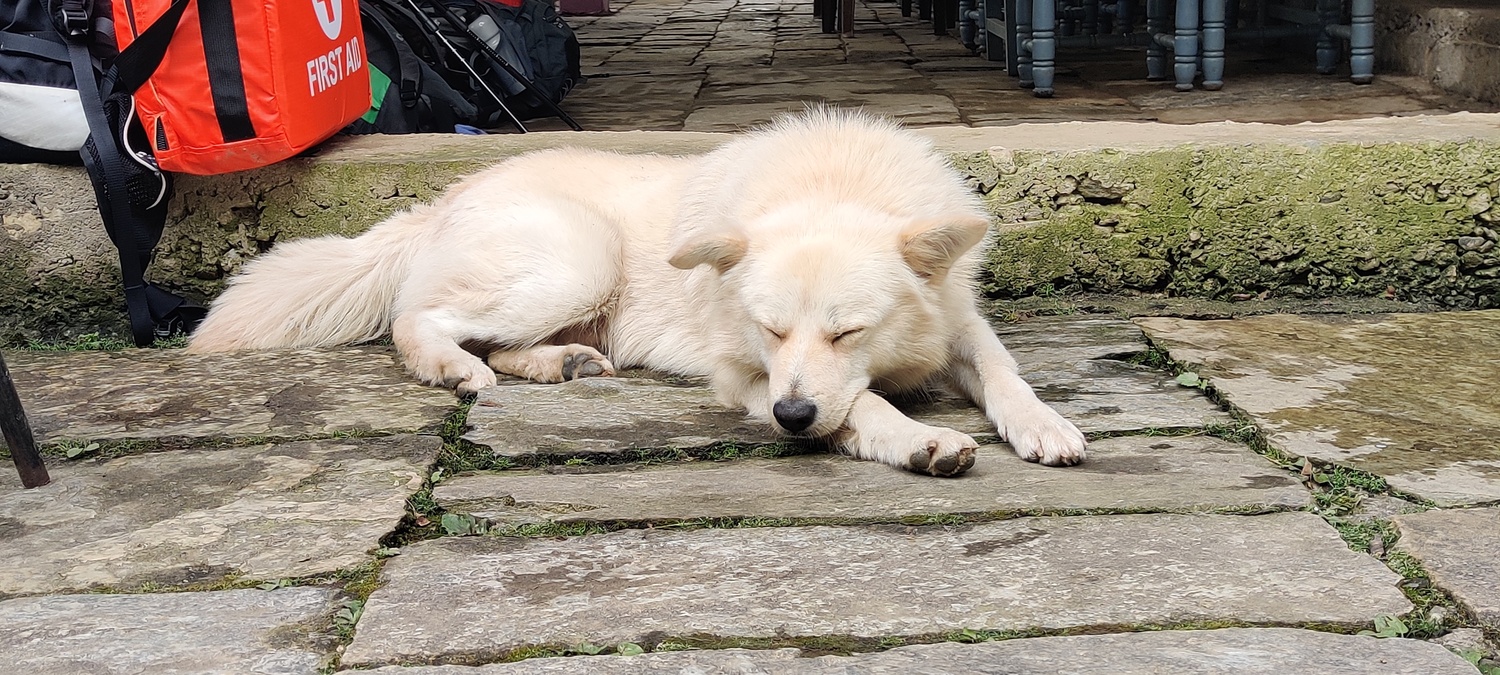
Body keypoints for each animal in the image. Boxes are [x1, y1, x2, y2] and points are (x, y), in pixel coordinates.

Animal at [187, 109, 1086, 474]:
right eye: (769, 330)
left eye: (848, 331)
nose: (793, 417)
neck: (833, 182)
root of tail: (445, 196)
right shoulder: (747, 376)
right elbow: (860, 405)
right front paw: (918, 438)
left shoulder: (957, 323)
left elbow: (1002, 370)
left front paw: (1042, 424)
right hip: (578, 258)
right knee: (421, 319)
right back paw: (454, 368)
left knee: (504, 344)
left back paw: (562, 365)